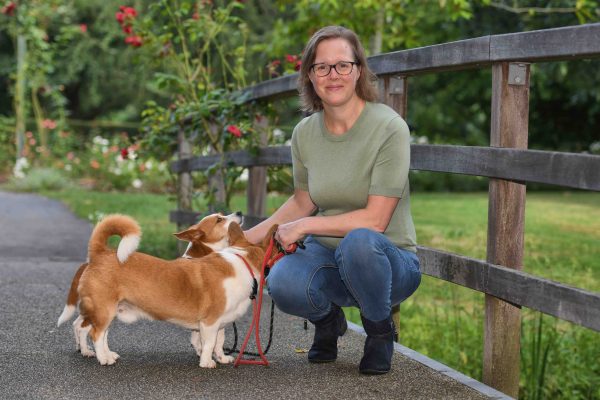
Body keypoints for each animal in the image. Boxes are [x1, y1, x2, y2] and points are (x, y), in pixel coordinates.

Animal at [56, 214, 276, 368]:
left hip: (107, 311)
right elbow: (208, 344)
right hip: (104, 310)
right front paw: (206, 362)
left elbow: (217, 342)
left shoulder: (219, 324)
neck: (242, 261)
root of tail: (99, 254)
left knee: (93, 331)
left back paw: (99, 353)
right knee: (95, 333)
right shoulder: (210, 322)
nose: (239, 212)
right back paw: (103, 359)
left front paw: (221, 357)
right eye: (219, 219)